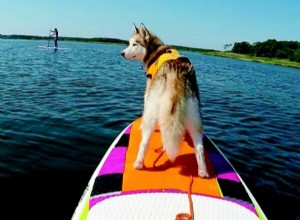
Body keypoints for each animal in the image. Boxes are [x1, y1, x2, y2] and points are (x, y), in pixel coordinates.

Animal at [120, 24, 207, 178]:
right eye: (129, 43)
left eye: (134, 44)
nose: (122, 53)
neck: (155, 51)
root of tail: (176, 72)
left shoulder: (148, 90)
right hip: (195, 114)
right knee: (199, 146)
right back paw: (202, 171)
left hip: (153, 108)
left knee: (144, 142)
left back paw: (138, 163)